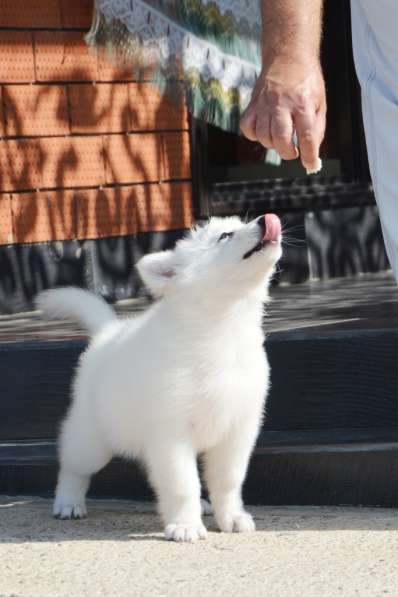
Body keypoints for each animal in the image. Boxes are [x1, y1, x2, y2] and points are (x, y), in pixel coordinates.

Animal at [35, 213, 282, 540]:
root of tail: (107, 332)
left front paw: (231, 517)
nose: (267, 219)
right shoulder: (171, 433)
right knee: (74, 465)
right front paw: (186, 525)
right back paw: (68, 502)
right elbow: (182, 484)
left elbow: (227, 480)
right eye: (225, 236)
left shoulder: (238, 430)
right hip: (93, 436)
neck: (223, 326)